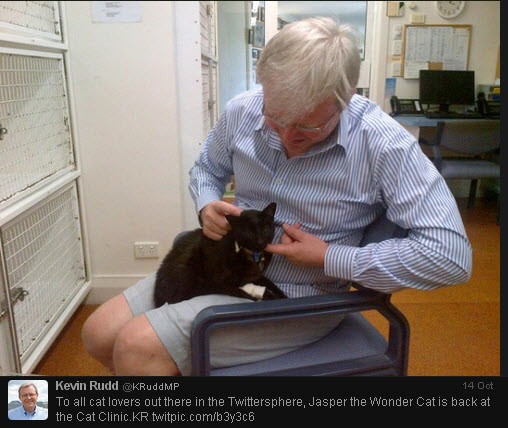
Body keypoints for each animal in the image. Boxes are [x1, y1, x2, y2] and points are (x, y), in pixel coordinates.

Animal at [153, 202, 287, 307]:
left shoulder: (257, 276)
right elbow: (248, 292)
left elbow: (271, 284)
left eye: (265, 228)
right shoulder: (222, 282)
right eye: (249, 232)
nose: (260, 240)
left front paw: (284, 297)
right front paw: (268, 296)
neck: (253, 255)